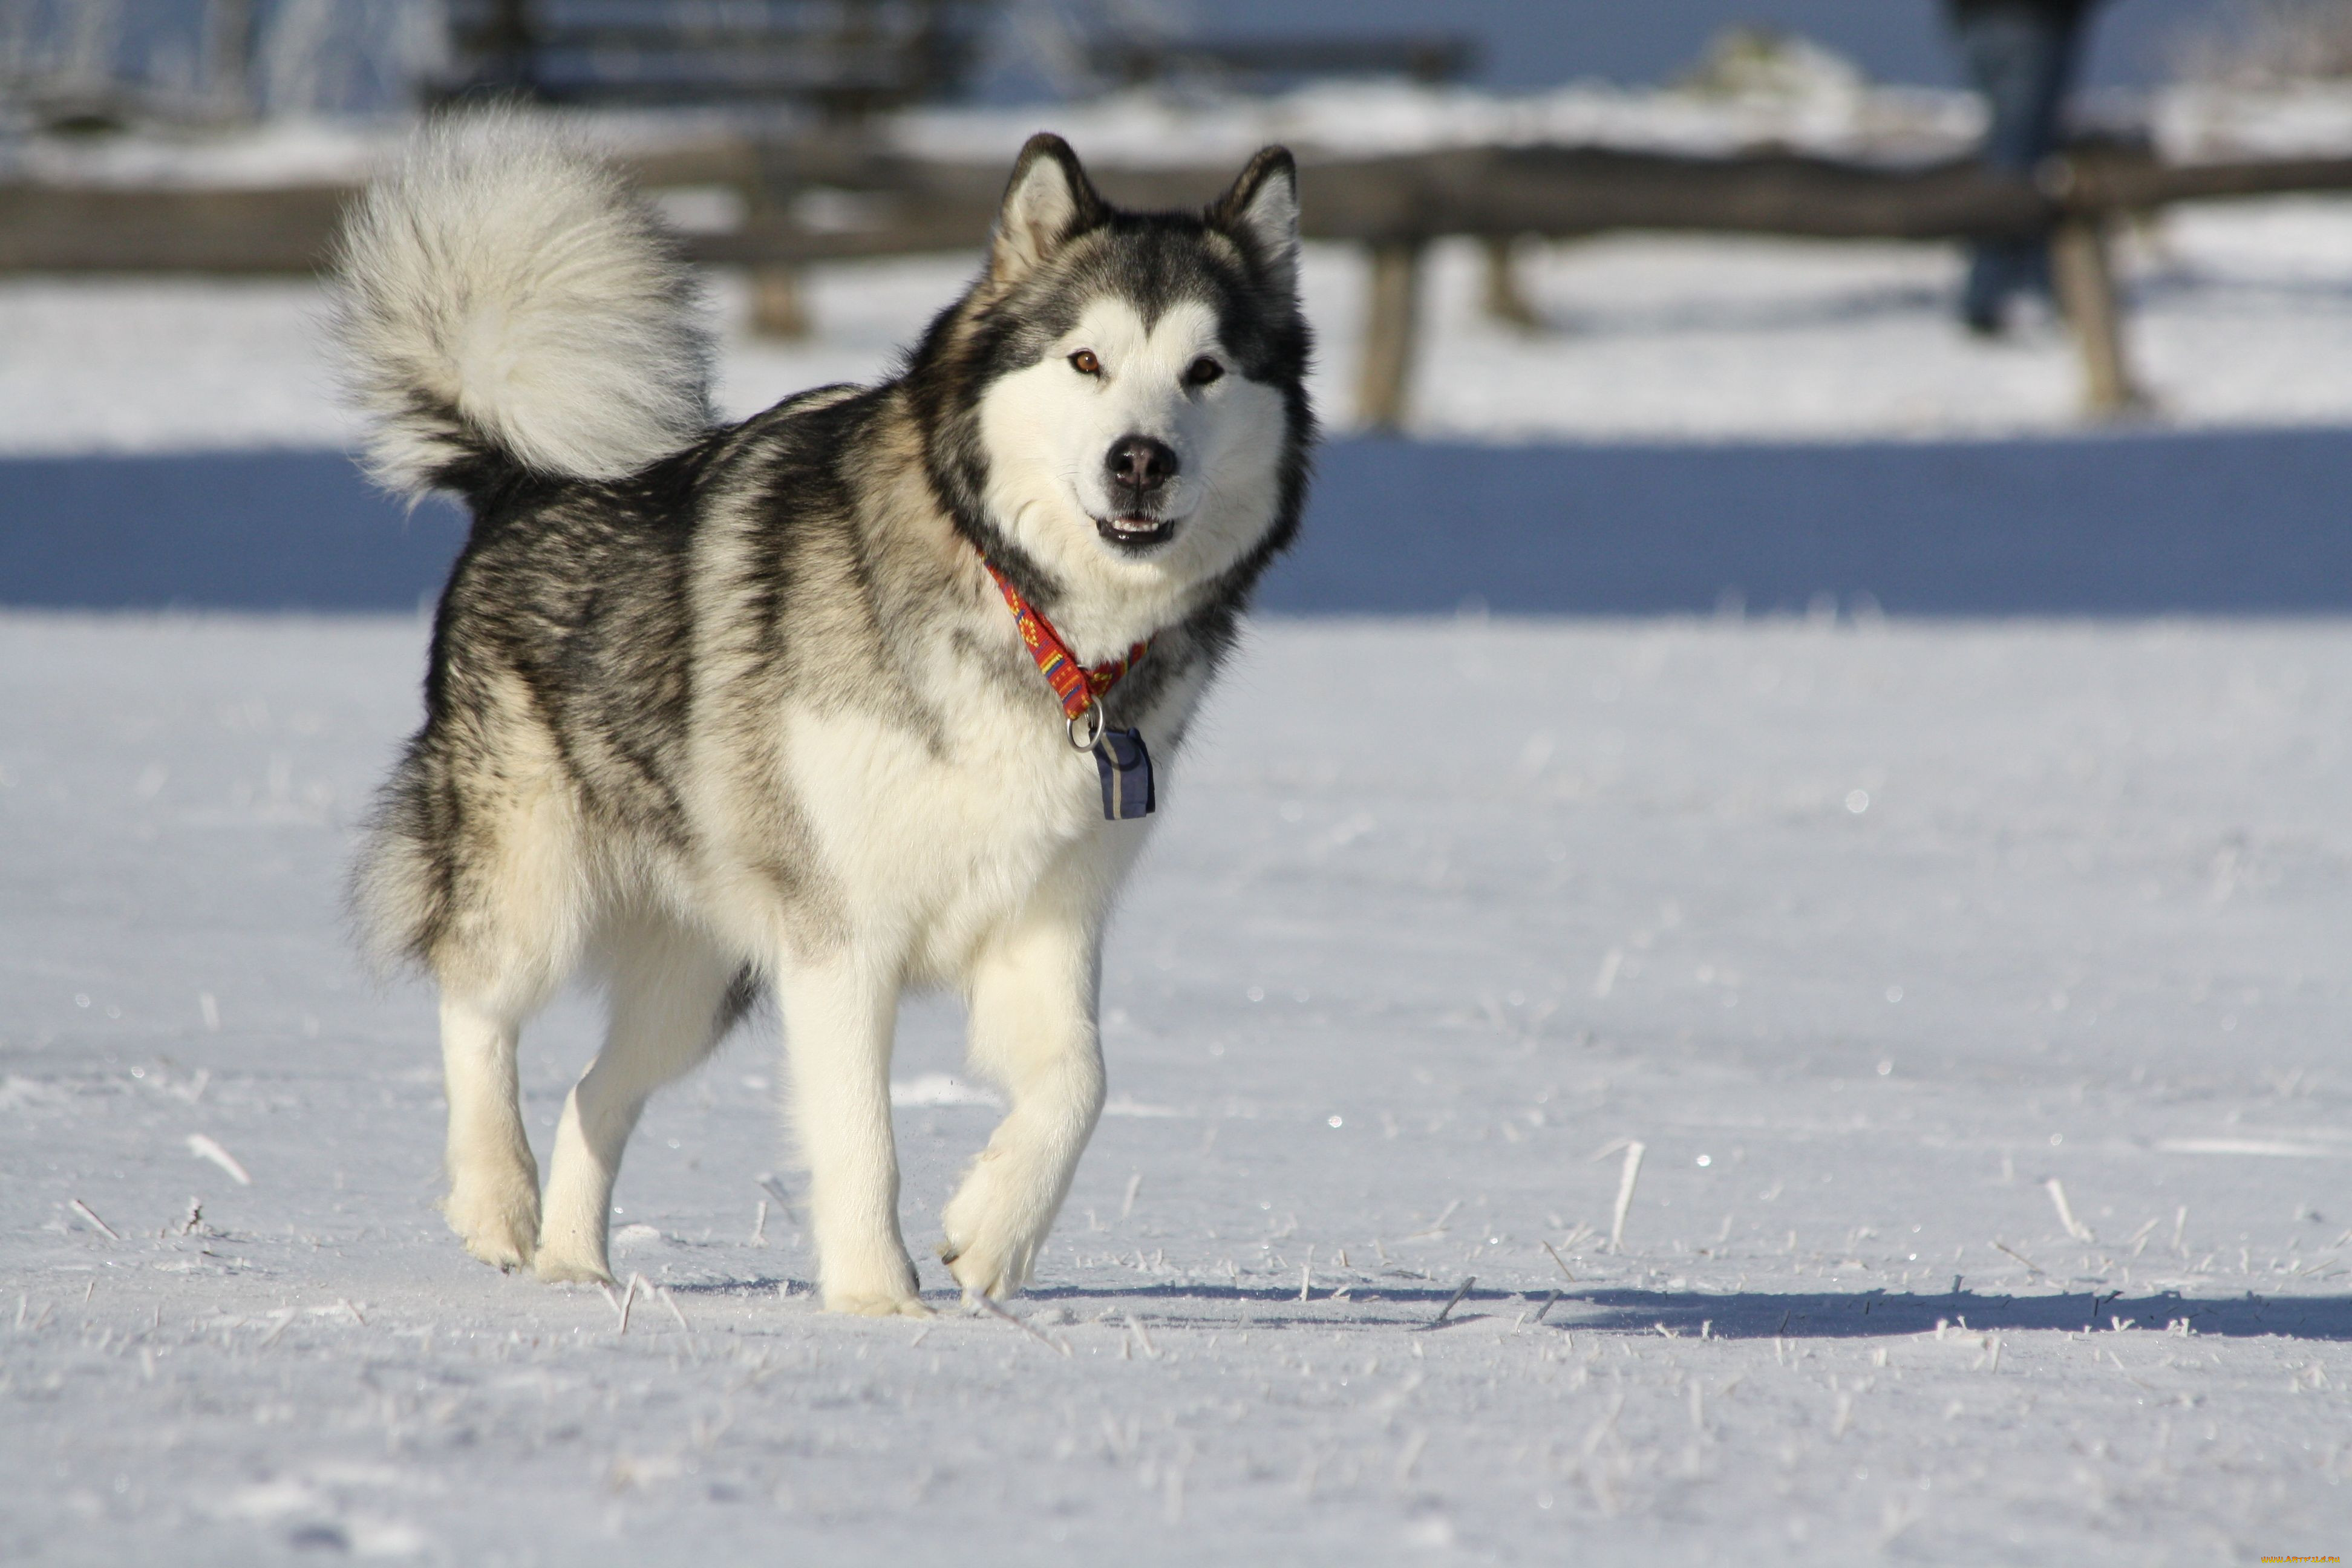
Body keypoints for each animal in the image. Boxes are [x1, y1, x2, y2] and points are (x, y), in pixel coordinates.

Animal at [336, 116, 1307, 1316]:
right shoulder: (841, 936)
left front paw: (993, 1235)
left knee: (596, 1092)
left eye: (1205, 371)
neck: (1027, 613)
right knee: (476, 1001)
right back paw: (496, 1200)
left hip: (702, 975)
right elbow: (860, 1135)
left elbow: (1082, 1081)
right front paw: (878, 1302)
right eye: (1086, 360)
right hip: (536, 878)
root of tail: (520, 479)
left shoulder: (1045, 919)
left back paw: (577, 1267)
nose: (1141, 460)